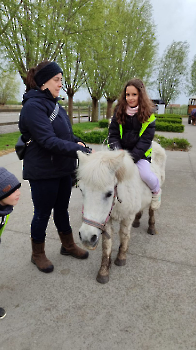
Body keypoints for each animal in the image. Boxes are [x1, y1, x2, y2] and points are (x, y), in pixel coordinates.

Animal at [77, 142, 166, 284]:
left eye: (109, 193)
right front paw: (104, 271)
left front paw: (121, 257)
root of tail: (156, 144)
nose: (86, 238)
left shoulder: (127, 218)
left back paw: (151, 226)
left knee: (152, 208)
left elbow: (124, 236)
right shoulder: (106, 220)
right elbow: (107, 244)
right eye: (81, 190)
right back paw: (137, 221)